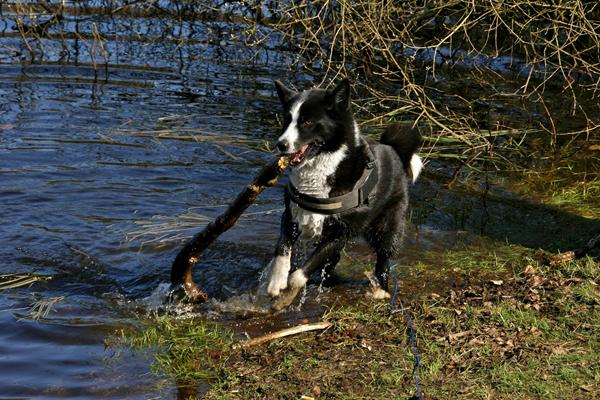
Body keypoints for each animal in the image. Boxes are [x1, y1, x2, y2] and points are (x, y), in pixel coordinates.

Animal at [262, 78, 422, 310]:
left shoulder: (341, 232)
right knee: (330, 266)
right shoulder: (291, 216)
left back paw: (381, 292)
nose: (281, 144)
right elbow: (282, 250)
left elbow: (300, 274)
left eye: (308, 122)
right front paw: (276, 283)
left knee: (383, 259)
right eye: (287, 120)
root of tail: (393, 149)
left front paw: (286, 297)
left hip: (386, 227)